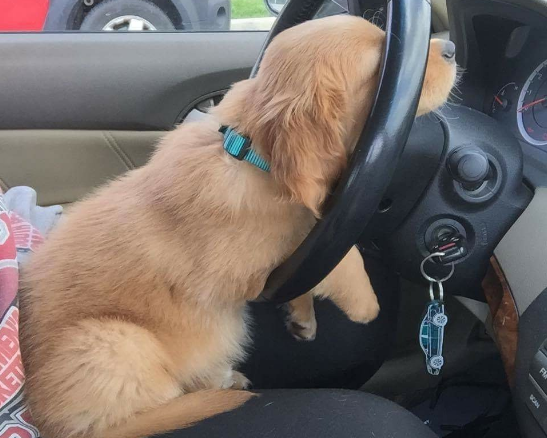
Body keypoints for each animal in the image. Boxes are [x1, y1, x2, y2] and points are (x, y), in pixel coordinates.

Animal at [19, 12, 458, 438]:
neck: (250, 155)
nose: (451, 48)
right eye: (379, 66)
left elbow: (308, 260)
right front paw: (366, 304)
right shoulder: (242, 268)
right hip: (114, 342)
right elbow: (342, 253)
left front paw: (302, 315)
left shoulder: (298, 257)